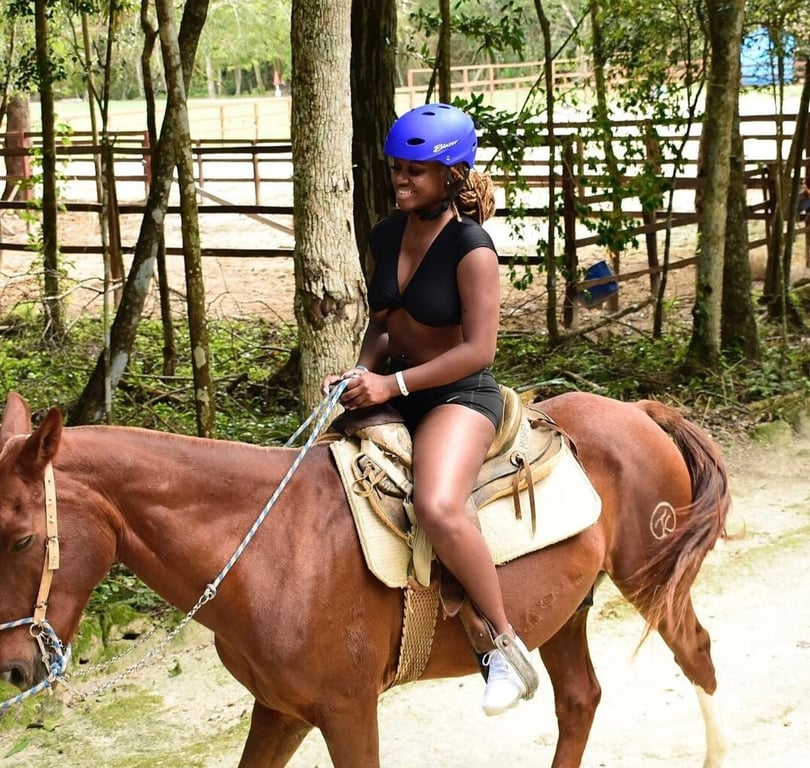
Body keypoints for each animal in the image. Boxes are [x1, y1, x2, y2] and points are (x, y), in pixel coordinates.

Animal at [0, 392, 728, 764]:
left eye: (22, 538)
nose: (11, 668)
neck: (266, 548)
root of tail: (635, 409)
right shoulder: (280, 711)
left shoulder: (347, 711)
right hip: (566, 610)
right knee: (579, 700)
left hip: (649, 579)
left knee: (696, 655)